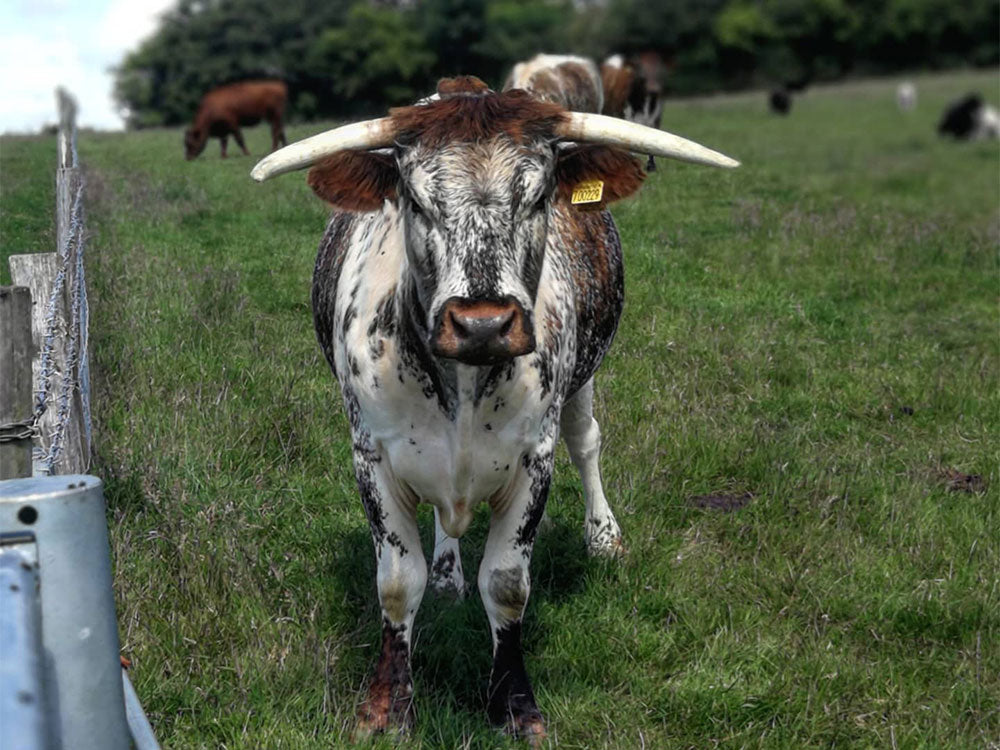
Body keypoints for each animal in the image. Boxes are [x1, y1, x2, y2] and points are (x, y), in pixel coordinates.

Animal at [250, 76, 737, 743]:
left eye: (537, 197)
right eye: (416, 202)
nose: (482, 323)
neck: (463, 379)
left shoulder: (535, 458)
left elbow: (507, 584)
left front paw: (514, 704)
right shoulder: (371, 454)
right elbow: (398, 583)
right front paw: (386, 708)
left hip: (584, 379)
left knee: (588, 441)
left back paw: (603, 536)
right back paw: (448, 572)